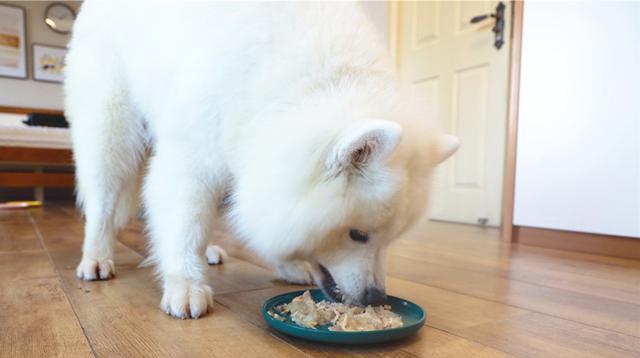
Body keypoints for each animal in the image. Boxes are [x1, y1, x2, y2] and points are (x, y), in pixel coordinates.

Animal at [65, 0, 458, 318]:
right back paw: (96, 257)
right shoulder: (192, 158)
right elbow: (184, 226)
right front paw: (186, 284)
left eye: (392, 239)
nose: (376, 297)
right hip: (112, 129)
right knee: (102, 203)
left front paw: (287, 264)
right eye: (358, 235)